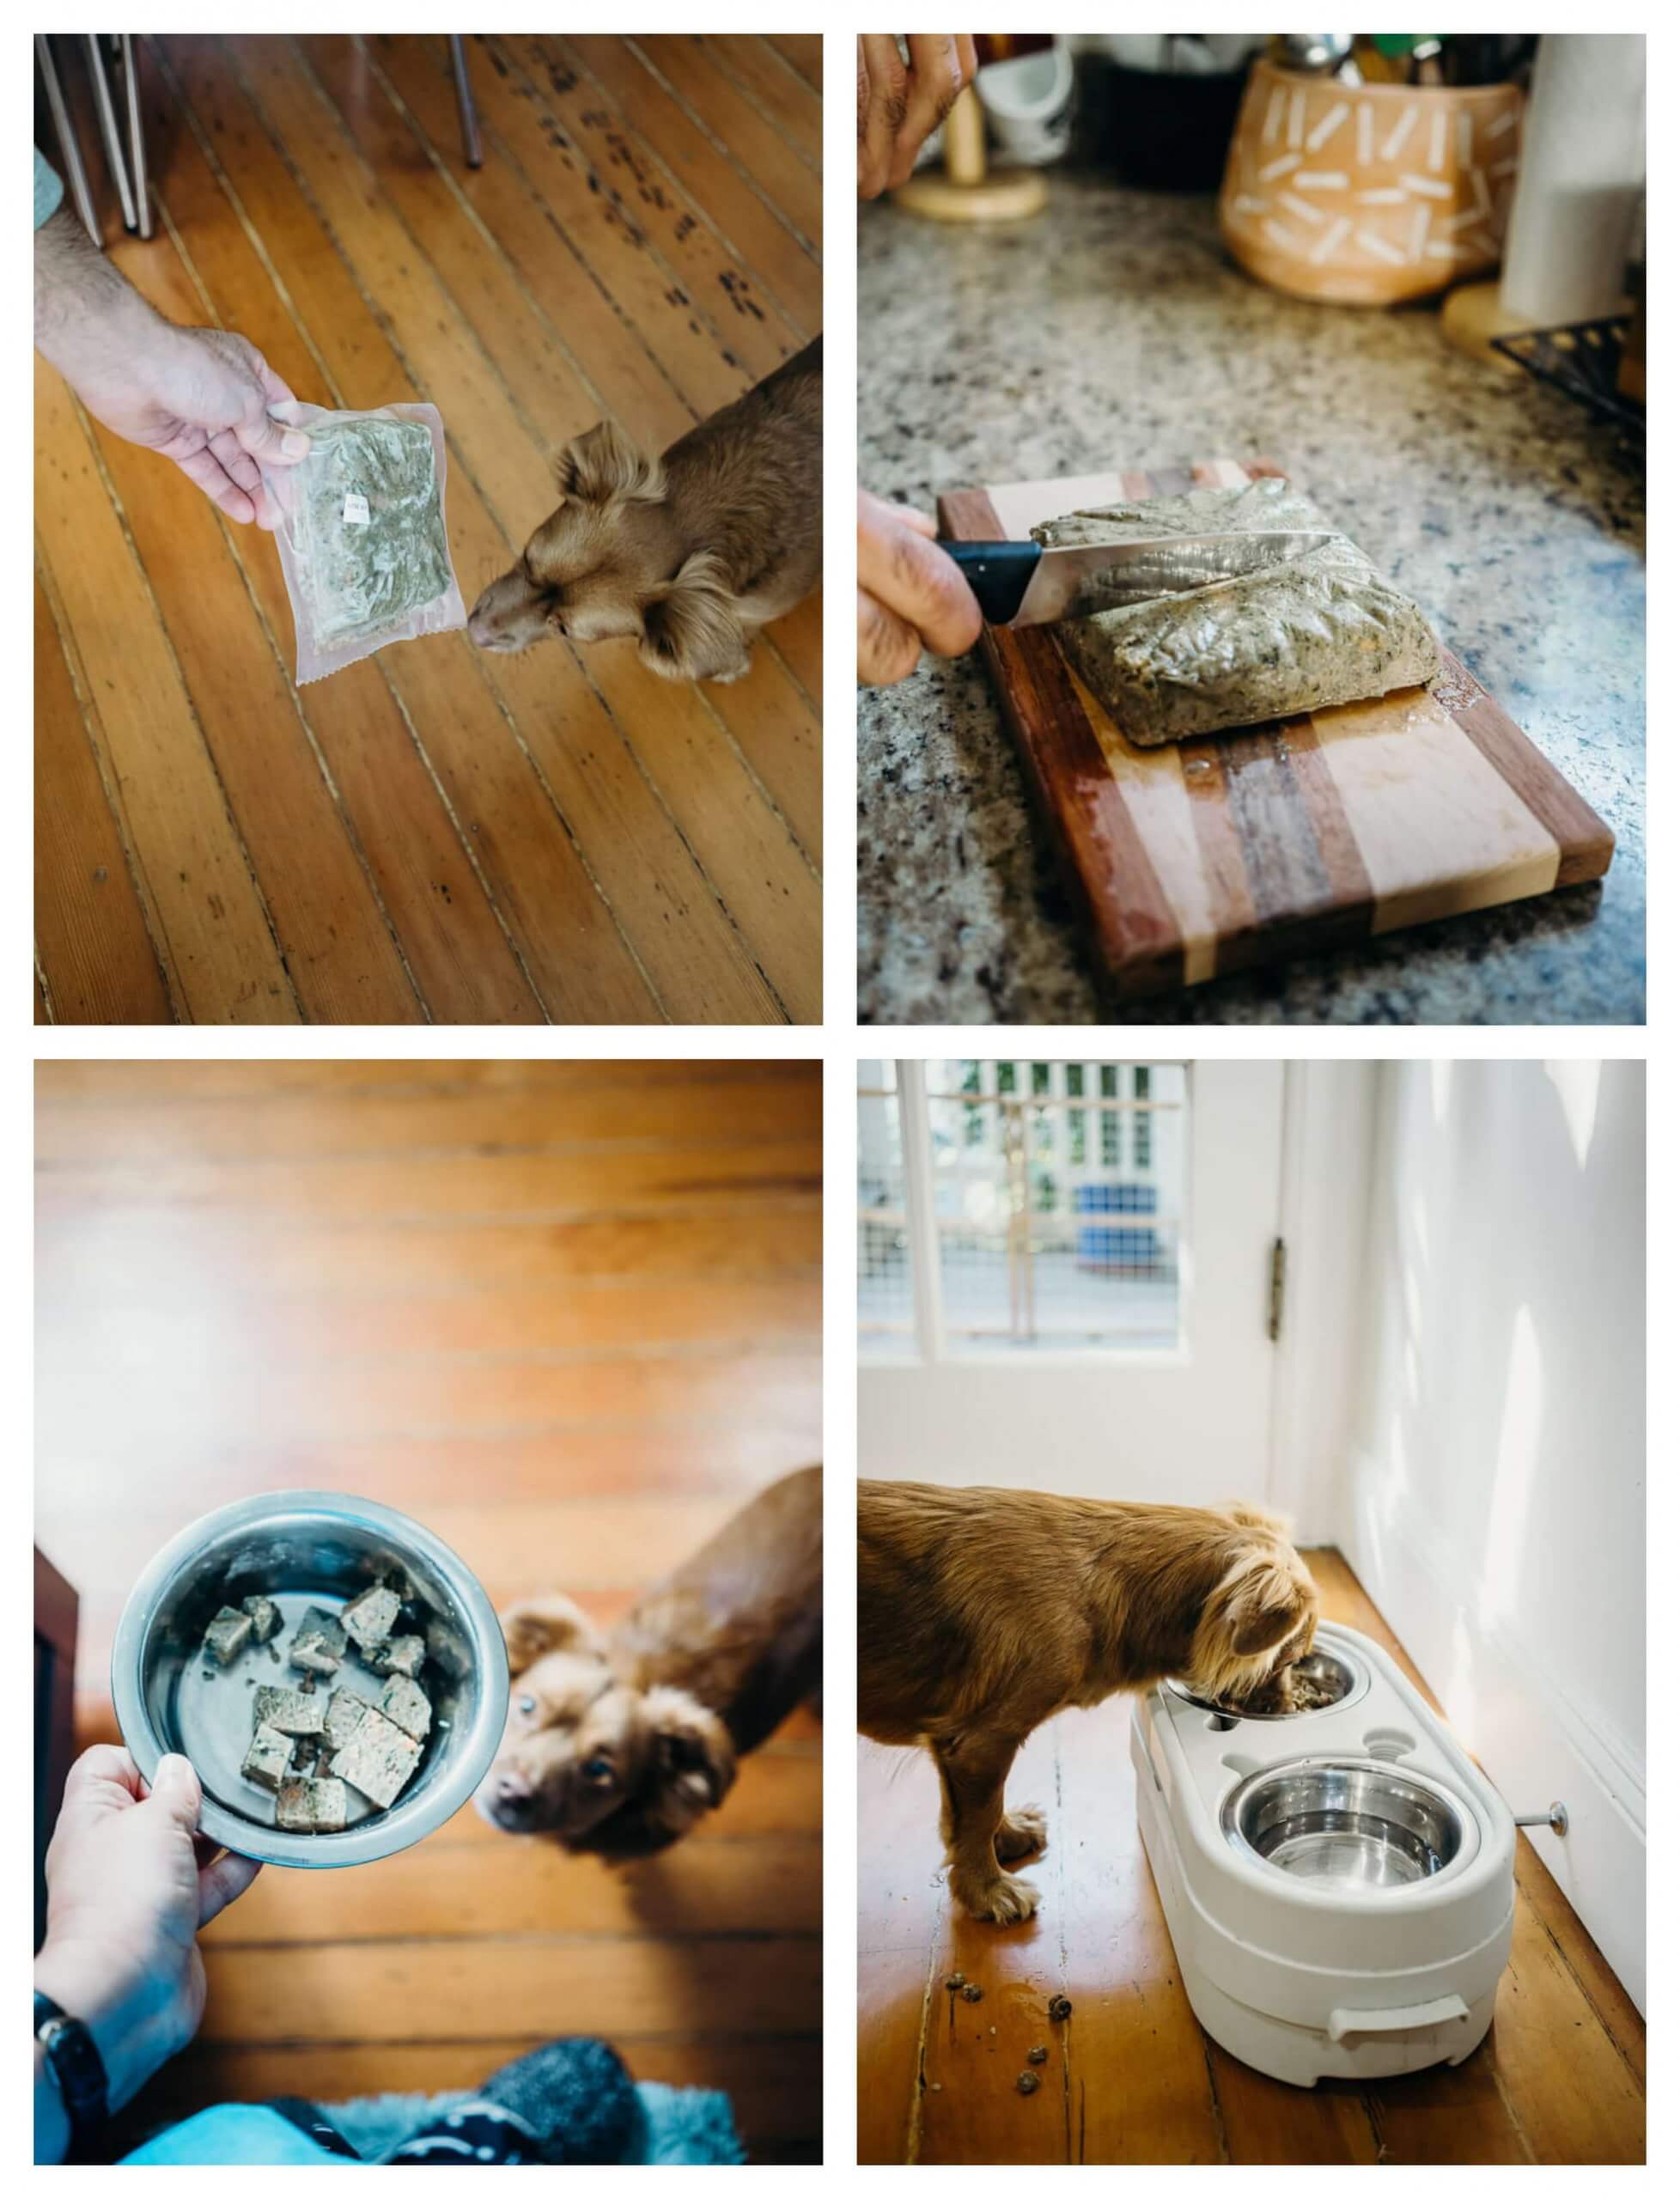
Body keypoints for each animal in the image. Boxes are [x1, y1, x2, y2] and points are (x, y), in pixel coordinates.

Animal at [857, 1477, 1319, 1926]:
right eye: (1289, 1658)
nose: (1287, 1711)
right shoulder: (981, 1742)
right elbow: (979, 1816)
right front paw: (989, 1891)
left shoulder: (964, 1747)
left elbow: (977, 1812)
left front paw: (1009, 1837)